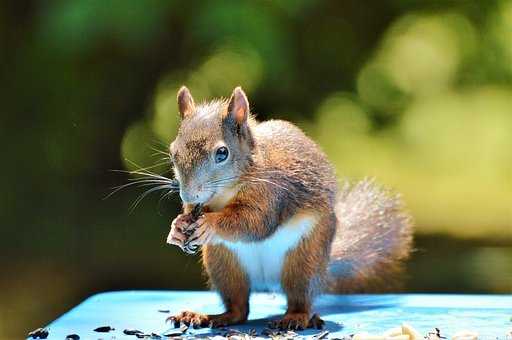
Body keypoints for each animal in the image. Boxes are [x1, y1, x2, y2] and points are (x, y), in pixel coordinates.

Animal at [166, 86, 414, 330]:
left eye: (222, 153)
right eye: (172, 151)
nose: (188, 194)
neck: (226, 191)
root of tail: (267, 283)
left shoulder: (273, 194)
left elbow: (255, 222)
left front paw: (209, 223)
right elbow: (192, 211)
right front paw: (177, 227)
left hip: (304, 259)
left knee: (299, 296)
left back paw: (295, 317)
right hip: (223, 262)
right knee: (239, 308)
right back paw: (209, 317)